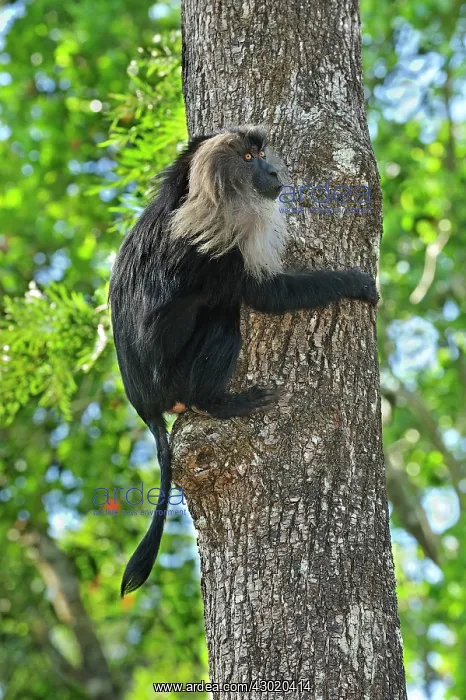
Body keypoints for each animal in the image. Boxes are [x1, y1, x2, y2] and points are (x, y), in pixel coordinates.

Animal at [109, 125, 378, 596]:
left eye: (262, 154)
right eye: (250, 158)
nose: (271, 171)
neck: (186, 196)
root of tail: (144, 403)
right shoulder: (225, 239)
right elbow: (267, 295)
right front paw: (355, 283)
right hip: (178, 372)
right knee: (222, 315)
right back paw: (218, 403)